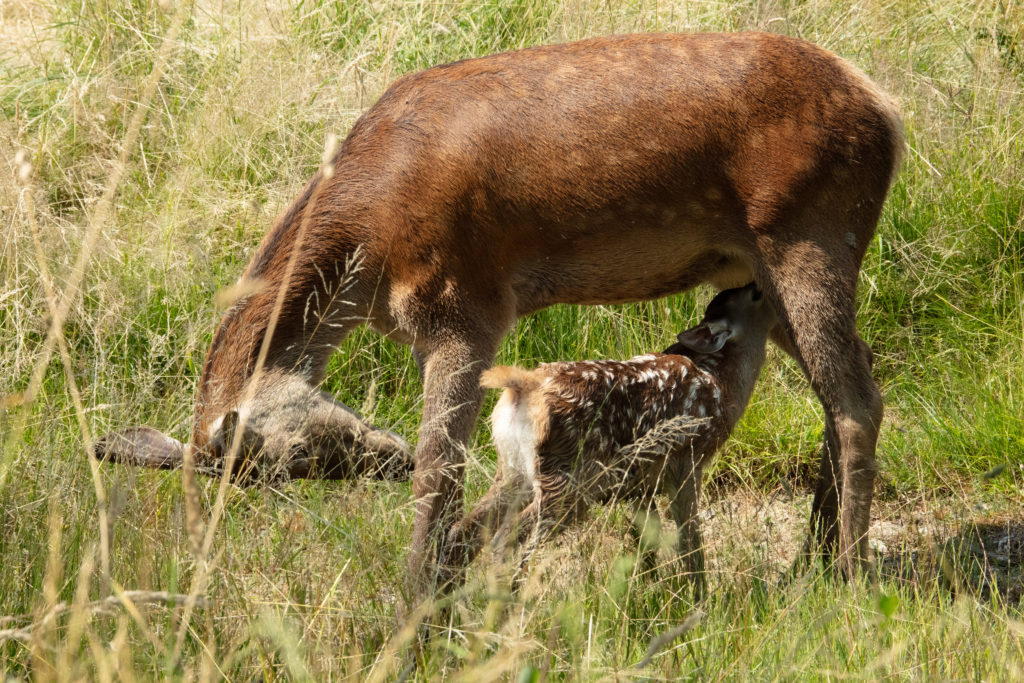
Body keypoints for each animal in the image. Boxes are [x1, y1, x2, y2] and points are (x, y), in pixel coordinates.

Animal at [446, 286, 774, 589]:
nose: (758, 285)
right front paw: (697, 593)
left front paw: (648, 588)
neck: (721, 383)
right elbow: (689, 538)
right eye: (755, 296)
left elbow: (647, 541)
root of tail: (524, 387)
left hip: (514, 468)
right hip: (567, 479)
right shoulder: (687, 460)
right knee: (505, 538)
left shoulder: (639, 483)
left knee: (464, 531)